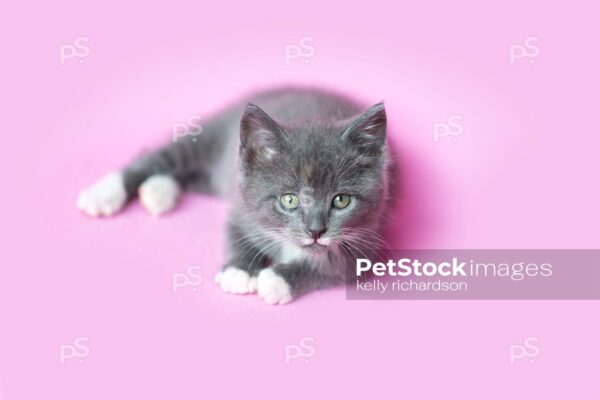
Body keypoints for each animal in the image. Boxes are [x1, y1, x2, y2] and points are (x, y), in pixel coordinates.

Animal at [79, 86, 396, 302]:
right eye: (289, 200)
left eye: (341, 200)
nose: (316, 231)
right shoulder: (242, 208)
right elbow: (237, 237)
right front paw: (239, 271)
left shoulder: (367, 240)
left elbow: (330, 268)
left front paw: (277, 280)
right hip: (209, 137)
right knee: (154, 158)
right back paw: (103, 194)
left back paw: (158, 192)